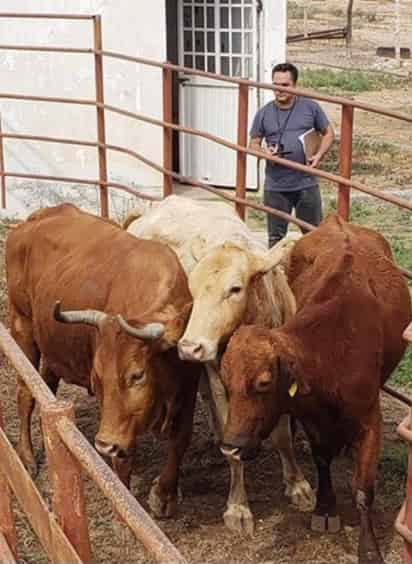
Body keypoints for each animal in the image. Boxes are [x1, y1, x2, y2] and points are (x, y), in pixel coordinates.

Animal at [5, 203, 200, 516]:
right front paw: (126, 504)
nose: (104, 445)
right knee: (25, 392)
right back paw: (27, 455)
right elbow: (124, 457)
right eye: (96, 376)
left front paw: (165, 494)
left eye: (137, 375)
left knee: (45, 385)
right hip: (22, 325)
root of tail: (37, 217)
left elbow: (181, 437)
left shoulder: (189, 385)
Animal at [124, 196, 314, 536]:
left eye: (235, 289)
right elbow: (232, 447)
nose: (189, 346)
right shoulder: (217, 376)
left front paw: (297, 485)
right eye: (193, 289)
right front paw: (238, 507)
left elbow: (282, 435)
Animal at [222, 216, 412, 564]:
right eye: (226, 384)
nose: (231, 448)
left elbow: (364, 489)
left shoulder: (370, 420)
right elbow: (322, 459)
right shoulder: (312, 419)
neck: (332, 348)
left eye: (264, 382)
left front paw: (369, 548)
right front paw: (325, 509)